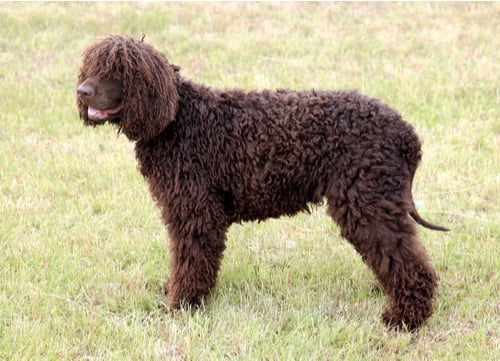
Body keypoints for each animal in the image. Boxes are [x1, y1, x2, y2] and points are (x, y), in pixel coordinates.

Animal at [77, 35, 450, 330]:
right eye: (89, 67)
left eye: (118, 70)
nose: (82, 91)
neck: (177, 119)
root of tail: (406, 134)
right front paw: (175, 294)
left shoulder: (196, 212)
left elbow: (191, 261)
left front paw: (180, 305)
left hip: (366, 200)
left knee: (407, 260)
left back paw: (406, 319)